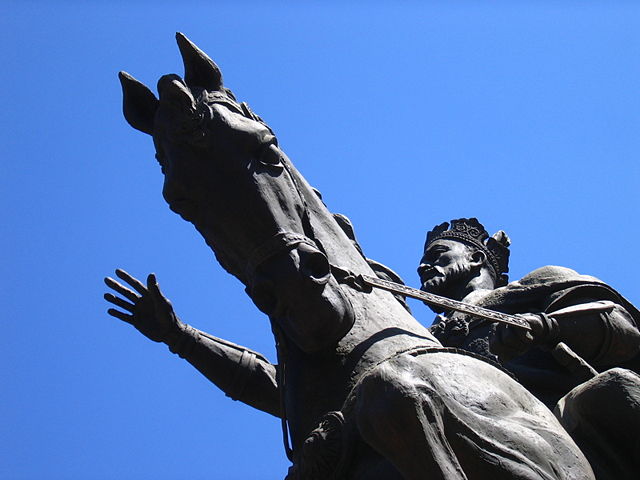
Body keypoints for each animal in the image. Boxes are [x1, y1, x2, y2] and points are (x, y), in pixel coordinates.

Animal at [111, 31, 596, 478]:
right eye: (179, 201)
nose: (301, 300)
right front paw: (159, 317)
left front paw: (530, 328)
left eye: (267, 149)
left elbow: (393, 393)